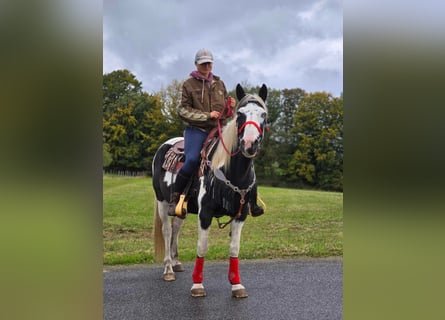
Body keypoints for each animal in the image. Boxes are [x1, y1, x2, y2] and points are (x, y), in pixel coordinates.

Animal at [152, 83, 268, 298]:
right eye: (240, 114)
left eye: (263, 115)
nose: (249, 144)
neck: (230, 170)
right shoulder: (204, 213)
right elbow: (202, 246)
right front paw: (197, 284)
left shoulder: (241, 215)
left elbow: (234, 248)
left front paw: (236, 285)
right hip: (162, 202)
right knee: (167, 230)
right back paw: (168, 268)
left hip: (181, 207)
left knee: (176, 228)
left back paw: (176, 262)